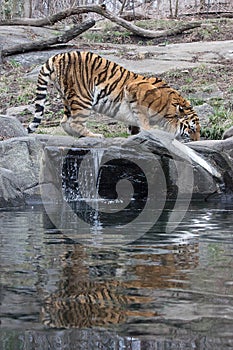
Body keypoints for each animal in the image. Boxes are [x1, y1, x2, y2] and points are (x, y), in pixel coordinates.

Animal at [28, 50, 200, 141]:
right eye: (191, 129)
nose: (197, 140)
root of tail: (59, 55)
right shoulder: (135, 91)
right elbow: (144, 121)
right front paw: (151, 134)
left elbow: (135, 125)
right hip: (83, 98)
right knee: (75, 122)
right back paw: (95, 136)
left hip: (67, 99)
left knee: (64, 121)